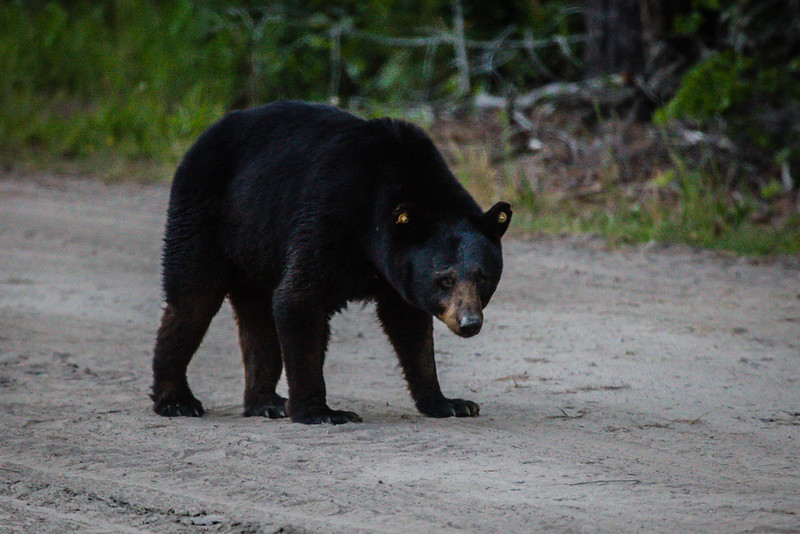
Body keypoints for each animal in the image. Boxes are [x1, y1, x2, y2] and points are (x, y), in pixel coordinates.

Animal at [150, 101, 511, 424]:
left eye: (482, 277)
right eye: (444, 279)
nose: (469, 323)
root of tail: (206, 133)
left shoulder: (396, 269)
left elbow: (409, 327)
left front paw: (449, 403)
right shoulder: (329, 216)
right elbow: (299, 300)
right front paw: (321, 412)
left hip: (253, 247)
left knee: (257, 319)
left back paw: (266, 403)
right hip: (204, 211)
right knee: (192, 299)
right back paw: (176, 400)